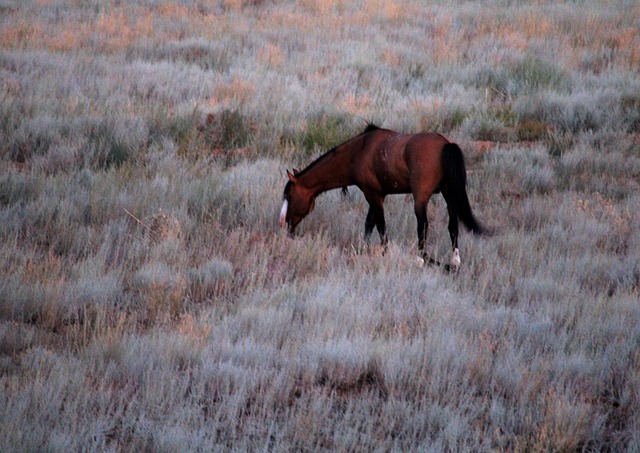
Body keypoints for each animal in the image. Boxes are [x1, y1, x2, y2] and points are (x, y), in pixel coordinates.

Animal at [279, 124, 483, 269]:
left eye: (288, 195)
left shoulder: (373, 194)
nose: (284, 224)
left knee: (423, 225)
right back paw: (454, 261)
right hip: (450, 193)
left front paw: (383, 252)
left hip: (421, 198)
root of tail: (446, 144)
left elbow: (380, 227)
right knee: (453, 224)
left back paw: (420, 259)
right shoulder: (377, 195)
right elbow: (370, 224)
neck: (358, 151)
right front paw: (362, 249)